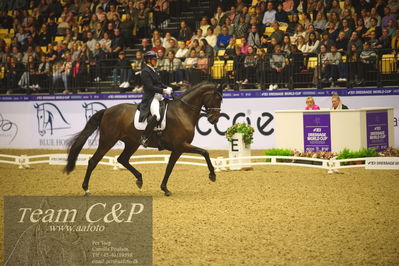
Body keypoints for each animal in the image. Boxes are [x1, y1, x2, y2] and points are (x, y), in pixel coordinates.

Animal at [64, 82, 223, 196]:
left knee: (122, 159)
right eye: (217, 98)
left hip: (132, 143)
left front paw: (165, 188)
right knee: (93, 161)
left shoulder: (178, 149)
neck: (182, 111)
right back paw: (86, 189)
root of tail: (107, 110)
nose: (214, 120)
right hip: (108, 141)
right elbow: (204, 152)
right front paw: (213, 175)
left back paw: (139, 179)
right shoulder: (181, 145)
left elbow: (169, 167)